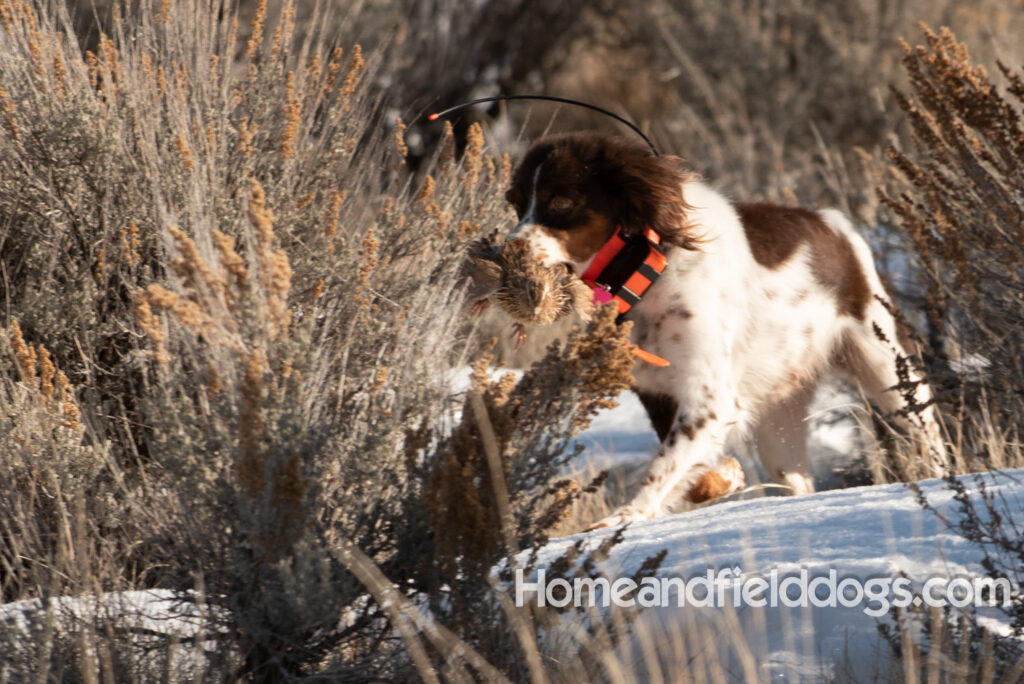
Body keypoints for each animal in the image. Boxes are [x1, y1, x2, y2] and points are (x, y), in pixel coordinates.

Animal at [503, 133, 942, 528]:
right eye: (518, 204)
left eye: (561, 202)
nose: (508, 249)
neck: (648, 271)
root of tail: (833, 223)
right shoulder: (657, 390)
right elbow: (685, 464)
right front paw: (727, 477)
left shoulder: (709, 395)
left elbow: (664, 466)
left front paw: (624, 517)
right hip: (778, 420)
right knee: (797, 478)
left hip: (886, 367)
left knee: (926, 425)